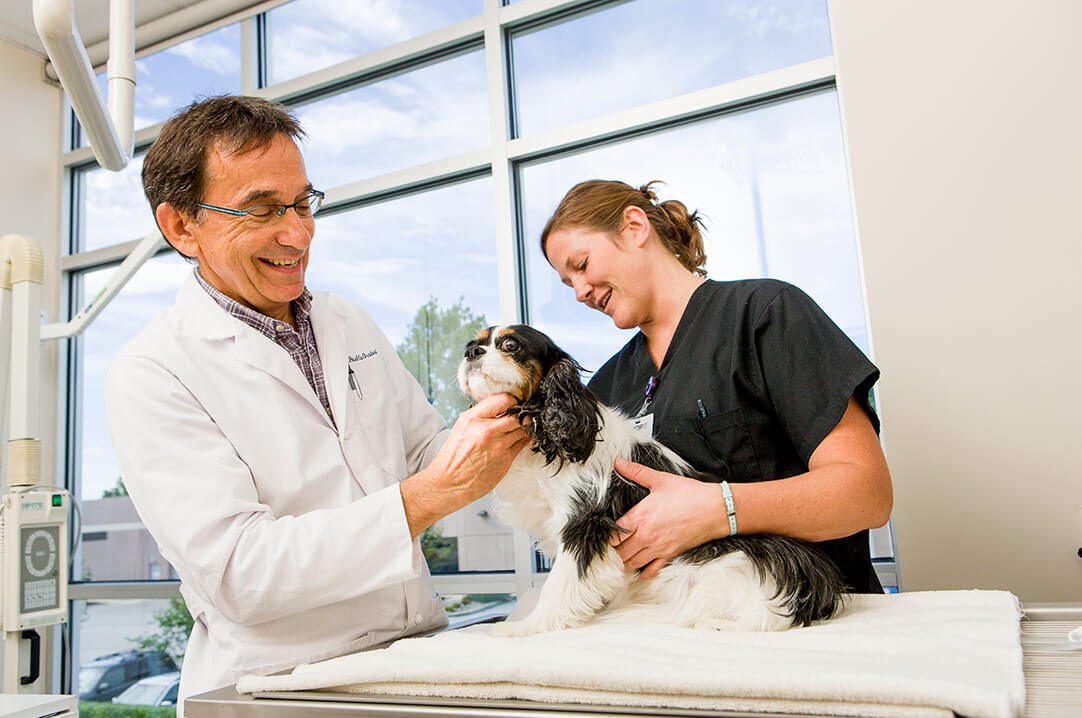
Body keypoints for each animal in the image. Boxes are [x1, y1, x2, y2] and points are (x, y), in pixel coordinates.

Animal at [456, 324, 843, 635]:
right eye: (474, 343)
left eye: (510, 345)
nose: (470, 351)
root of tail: (813, 587)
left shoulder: (583, 524)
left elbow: (560, 583)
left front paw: (527, 627)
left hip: (719, 575)